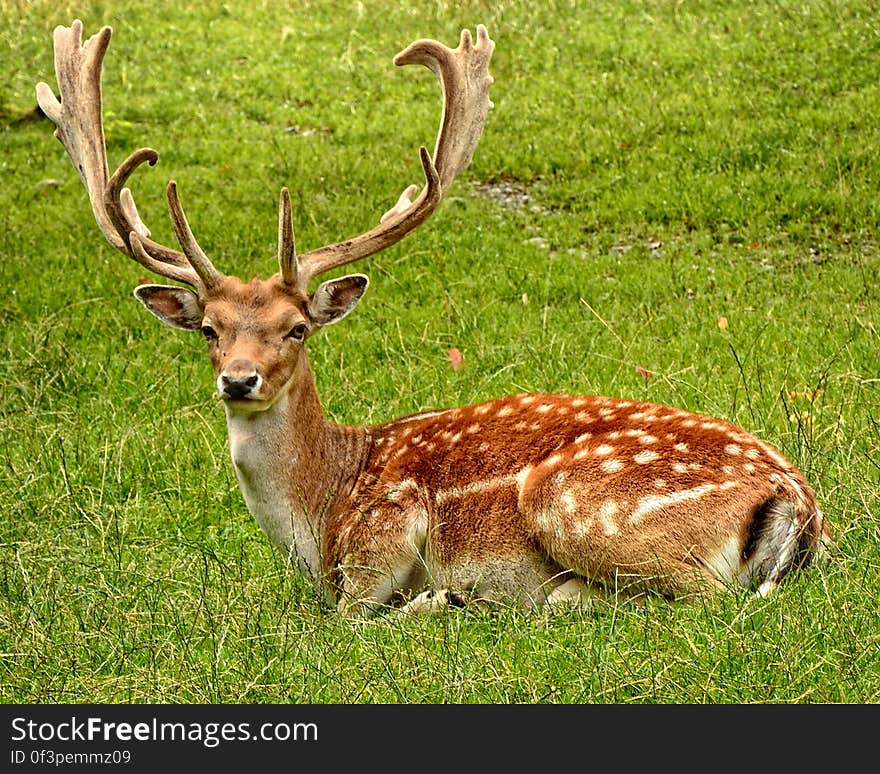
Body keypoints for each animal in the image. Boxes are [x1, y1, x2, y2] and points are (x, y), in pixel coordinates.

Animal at [36, 19, 832, 620]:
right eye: (210, 329)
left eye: (298, 326)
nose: (239, 379)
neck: (320, 513)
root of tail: (797, 501)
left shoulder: (383, 531)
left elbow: (350, 618)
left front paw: (435, 599)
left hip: (577, 503)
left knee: (703, 597)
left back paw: (525, 599)